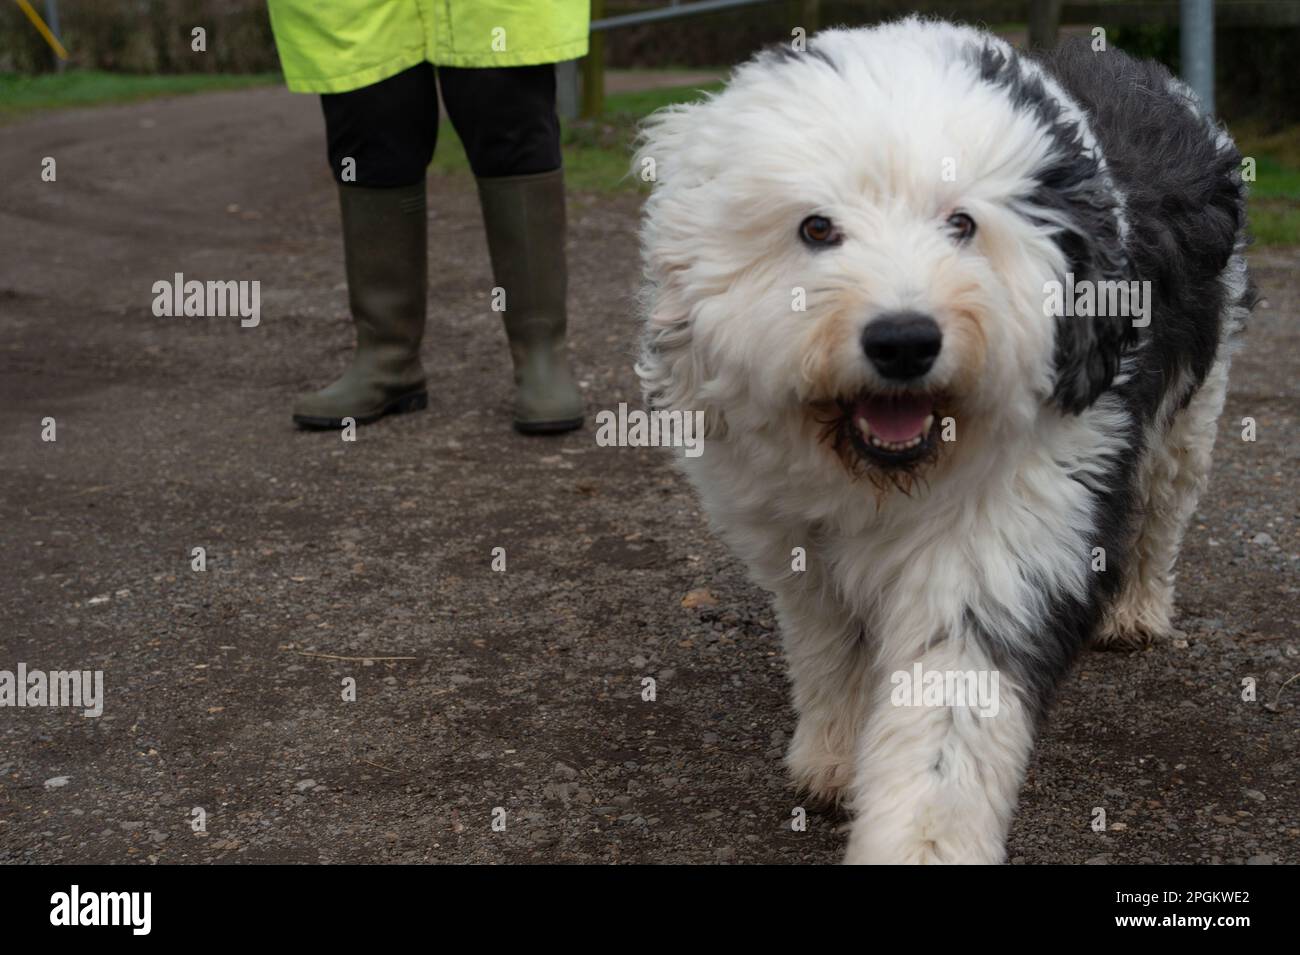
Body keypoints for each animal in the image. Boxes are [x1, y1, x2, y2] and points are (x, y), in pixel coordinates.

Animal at [634, 18, 1253, 862]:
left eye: (962, 223)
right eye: (816, 227)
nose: (904, 340)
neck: (889, 475)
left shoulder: (1007, 532)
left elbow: (946, 727)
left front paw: (922, 840)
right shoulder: (798, 542)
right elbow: (829, 647)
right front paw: (833, 755)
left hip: (1191, 404)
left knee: (1163, 511)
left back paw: (1134, 608)